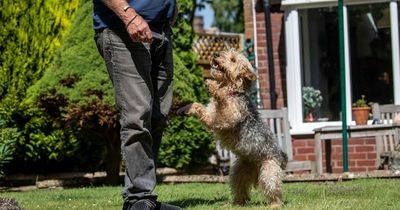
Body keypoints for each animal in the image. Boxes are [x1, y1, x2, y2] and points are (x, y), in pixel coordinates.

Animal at [178, 49, 288, 208]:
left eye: (233, 59)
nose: (216, 54)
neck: (232, 90)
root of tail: (282, 155)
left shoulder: (227, 117)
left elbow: (222, 99)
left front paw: (213, 87)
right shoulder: (211, 117)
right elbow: (199, 107)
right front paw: (185, 108)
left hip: (269, 173)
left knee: (275, 192)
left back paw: (274, 205)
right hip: (238, 173)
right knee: (241, 192)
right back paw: (233, 204)